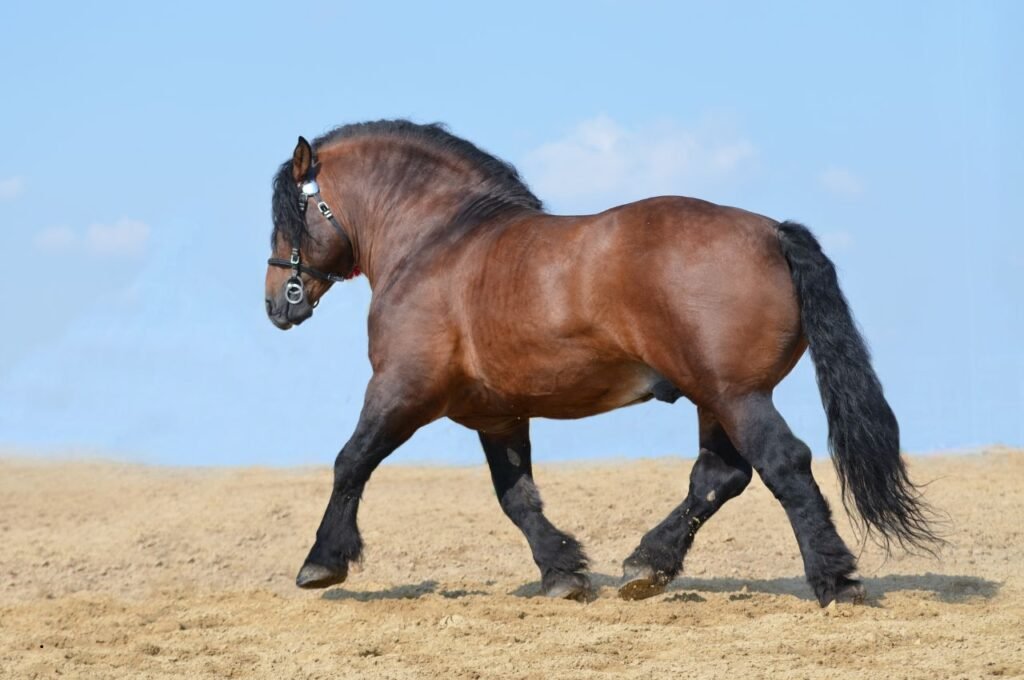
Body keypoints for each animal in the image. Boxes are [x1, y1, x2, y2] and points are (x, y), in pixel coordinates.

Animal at [264, 120, 938, 605]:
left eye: (286, 214)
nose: (277, 303)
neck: (440, 243)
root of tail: (773, 232)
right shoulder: (497, 416)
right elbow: (517, 498)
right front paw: (563, 572)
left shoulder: (403, 389)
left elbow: (351, 461)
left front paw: (321, 562)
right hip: (715, 398)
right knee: (719, 477)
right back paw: (647, 565)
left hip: (737, 394)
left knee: (783, 465)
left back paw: (835, 580)